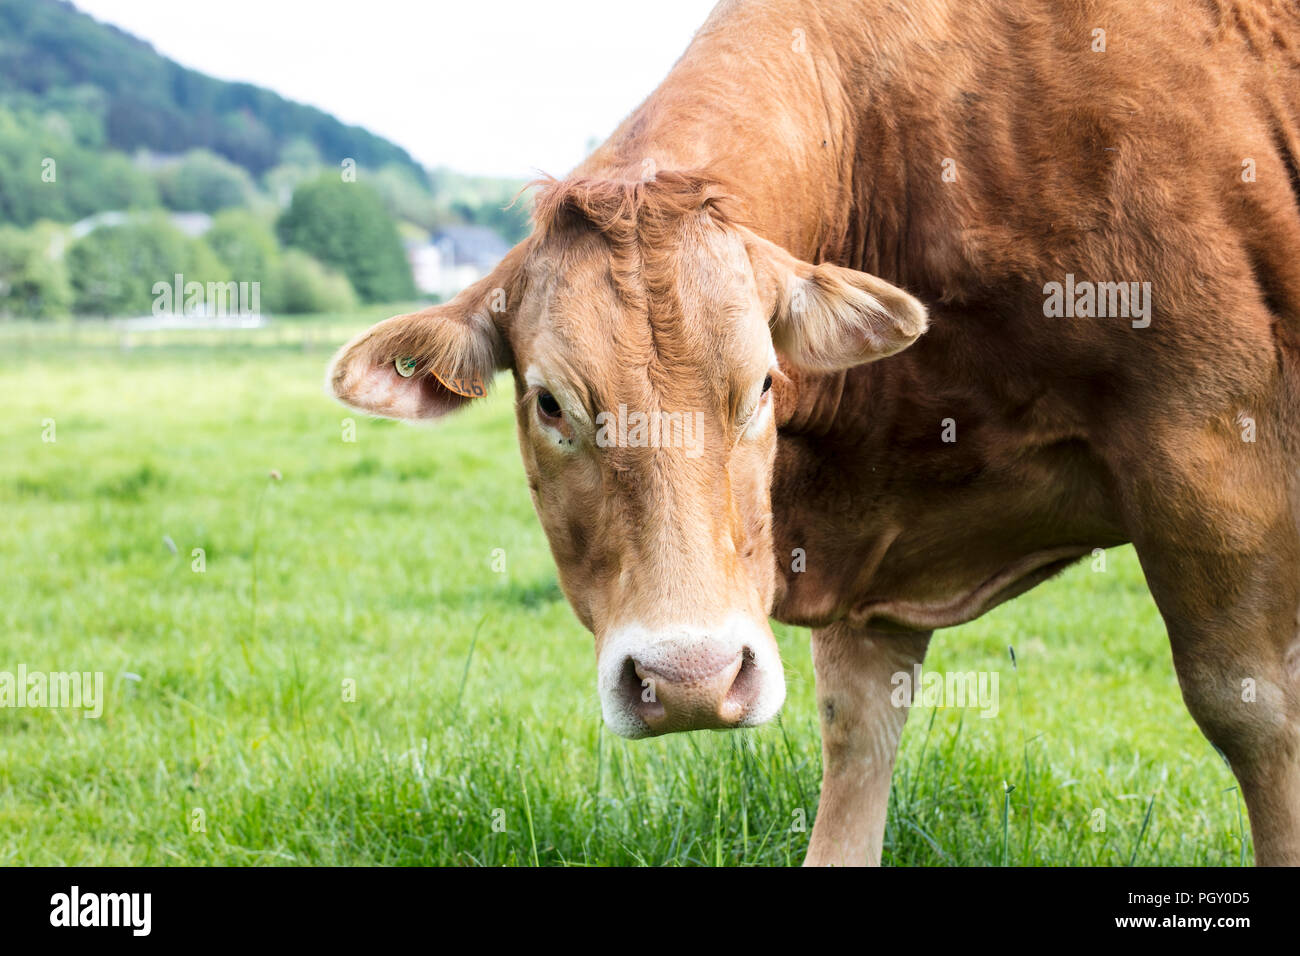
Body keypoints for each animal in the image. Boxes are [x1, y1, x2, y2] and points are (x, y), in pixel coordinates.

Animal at [329, 0, 1300, 865]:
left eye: (762, 384)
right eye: (551, 405)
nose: (689, 680)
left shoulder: (1214, 443)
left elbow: (1252, 710)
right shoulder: (878, 549)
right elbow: (858, 735)